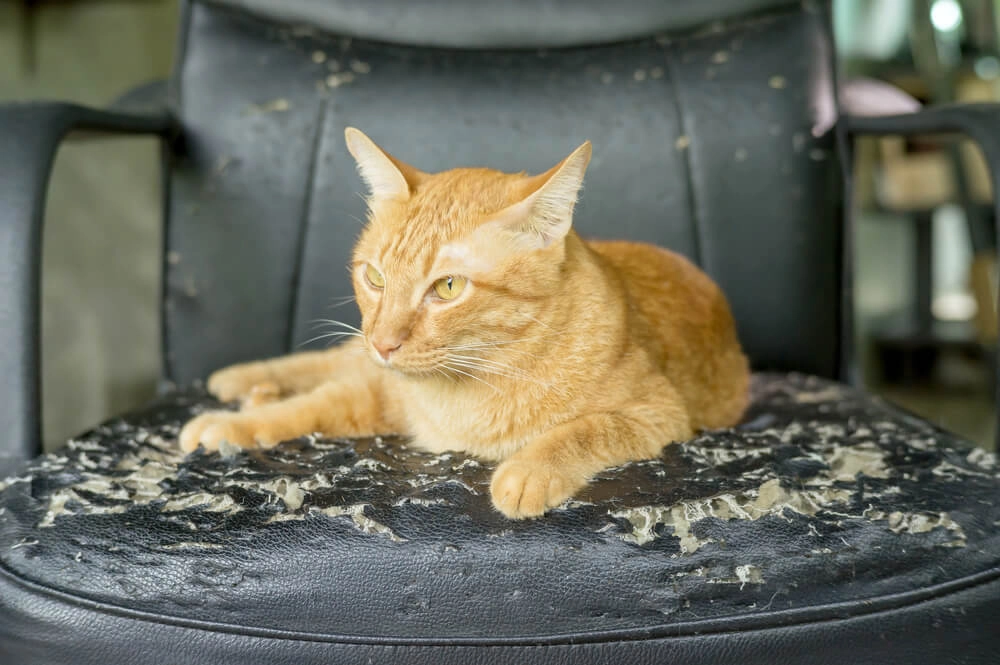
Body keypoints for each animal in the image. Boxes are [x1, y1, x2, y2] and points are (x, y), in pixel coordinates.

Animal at [178, 126, 752, 520]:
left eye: (449, 288)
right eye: (375, 276)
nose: (384, 343)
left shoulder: (659, 412)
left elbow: (586, 428)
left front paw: (528, 469)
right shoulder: (382, 392)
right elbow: (308, 408)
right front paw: (230, 424)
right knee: (322, 365)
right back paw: (243, 383)